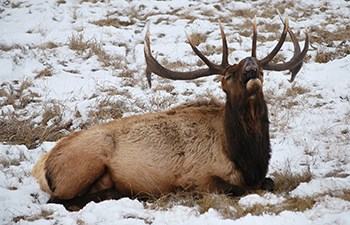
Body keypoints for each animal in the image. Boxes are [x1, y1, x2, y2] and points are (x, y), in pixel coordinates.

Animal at [31, 16, 308, 211]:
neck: (246, 156)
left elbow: (270, 182)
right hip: (86, 163)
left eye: (261, 67)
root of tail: (42, 166)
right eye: (228, 75)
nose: (250, 66)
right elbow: (236, 189)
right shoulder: (198, 177)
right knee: (58, 201)